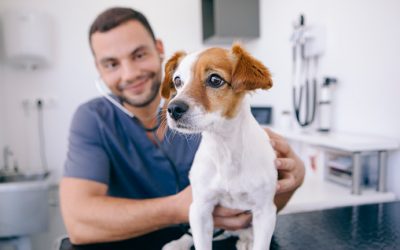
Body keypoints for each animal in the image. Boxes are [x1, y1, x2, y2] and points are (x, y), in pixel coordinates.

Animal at [161, 44, 276, 249]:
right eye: (177, 81)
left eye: (215, 80)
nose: (173, 109)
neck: (224, 147)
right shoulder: (200, 209)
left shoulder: (266, 213)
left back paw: (247, 239)